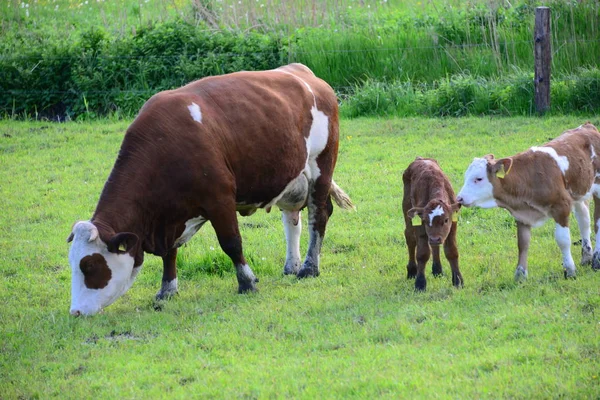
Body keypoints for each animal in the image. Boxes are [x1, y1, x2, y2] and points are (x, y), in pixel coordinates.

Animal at [67, 63, 354, 316]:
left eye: (89, 266)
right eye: (73, 263)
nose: (76, 312)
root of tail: (304, 73)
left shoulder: (219, 199)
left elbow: (231, 243)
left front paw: (247, 282)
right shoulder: (169, 216)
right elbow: (170, 253)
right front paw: (167, 290)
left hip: (321, 167)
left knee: (318, 216)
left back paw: (309, 268)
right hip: (290, 176)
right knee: (292, 220)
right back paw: (291, 266)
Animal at [458, 123, 600, 280]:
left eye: (479, 178)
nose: (459, 198)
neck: (529, 177)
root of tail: (587, 126)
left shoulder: (561, 206)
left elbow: (563, 240)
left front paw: (570, 270)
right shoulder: (522, 214)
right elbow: (523, 242)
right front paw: (520, 274)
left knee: (597, 222)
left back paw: (596, 260)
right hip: (579, 192)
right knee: (584, 221)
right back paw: (586, 257)